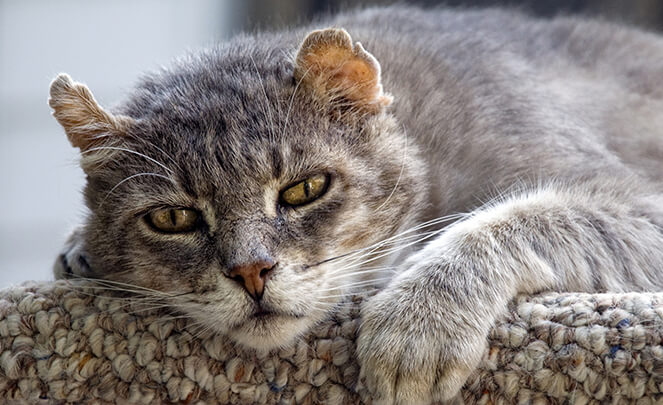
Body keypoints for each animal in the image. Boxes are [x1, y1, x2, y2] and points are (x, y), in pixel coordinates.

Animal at [49, 6, 663, 404]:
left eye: (304, 189)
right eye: (173, 218)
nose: (251, 272)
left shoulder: (637, 205)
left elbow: (514, 218)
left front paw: (417, 321)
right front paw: (78, 249)